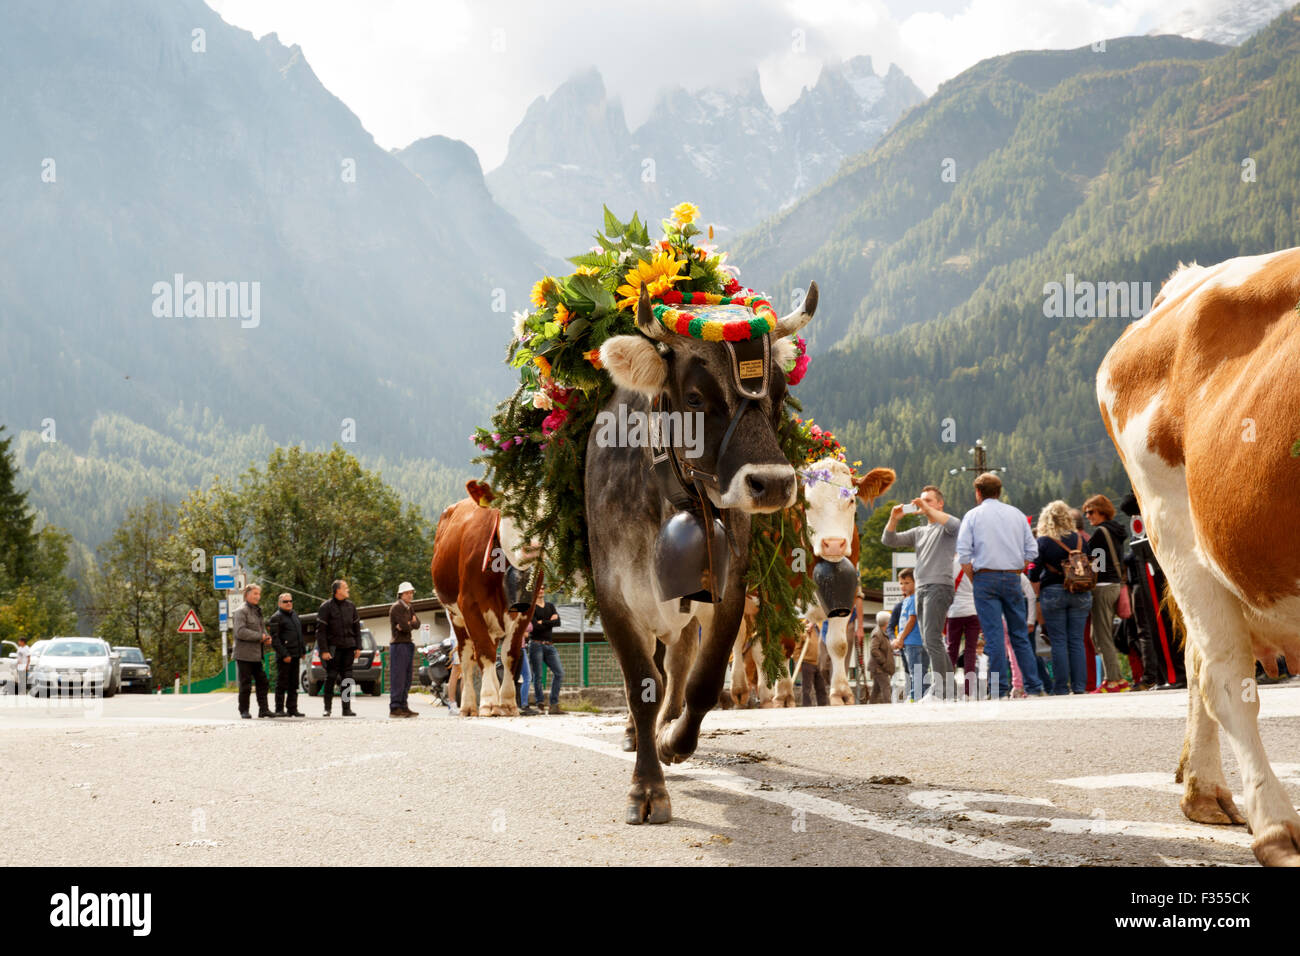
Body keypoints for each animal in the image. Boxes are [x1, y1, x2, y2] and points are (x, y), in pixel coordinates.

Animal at [431, 486, 538, 717]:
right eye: (512, 512)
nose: (533, 548)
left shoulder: (526, 610)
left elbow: (509, 656)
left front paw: (507, 702)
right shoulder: (469, 605)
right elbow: (485, 654)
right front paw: (489, 701)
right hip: (456, 617)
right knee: (467, 659)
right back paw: (469, 705)